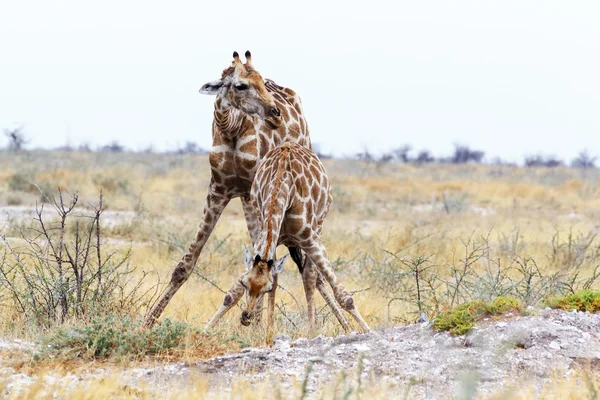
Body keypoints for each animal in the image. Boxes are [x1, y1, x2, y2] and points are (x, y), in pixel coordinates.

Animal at [142, 51, 352, 330]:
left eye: (261, 82)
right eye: (241, 85)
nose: (275, 114)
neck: (231, 130)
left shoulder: (254, 190)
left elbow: (265, 261)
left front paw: (256, 325)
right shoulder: (219, 189)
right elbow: (186, 264)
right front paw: (147, 322)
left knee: (309, 270)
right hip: (248, 198)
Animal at [205, 142, 370, 336]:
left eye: (266, 288)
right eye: (244, 283)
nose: (246, 316)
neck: (283, 189)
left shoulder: (310, 240)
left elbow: (344, 296)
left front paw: (369, 332)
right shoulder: (267, 237)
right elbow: (235, 293)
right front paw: (206, 329)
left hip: (318, 227)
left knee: (309, 275)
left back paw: (313, 329)